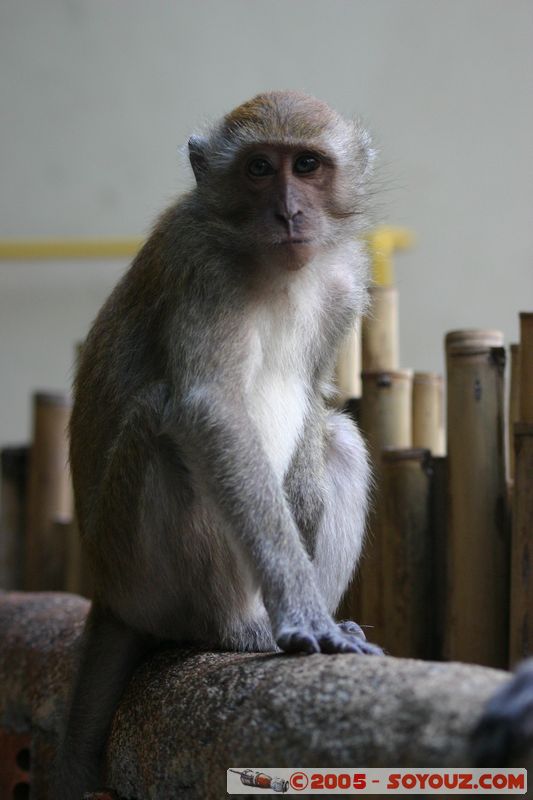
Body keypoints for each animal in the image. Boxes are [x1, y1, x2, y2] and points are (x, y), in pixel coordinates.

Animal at [56, 91, 382, 798]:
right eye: (259, 168)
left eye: (307, 165)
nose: (288, 211)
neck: (278, 270)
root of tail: (107, 593)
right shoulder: (198, 263)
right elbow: (209, 411)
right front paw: (301, 611)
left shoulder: (346, 280)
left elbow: (316, 393)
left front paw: (306, 508)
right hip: (139, 573)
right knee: (166, 430)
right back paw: (238, 630)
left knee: (340, 438)